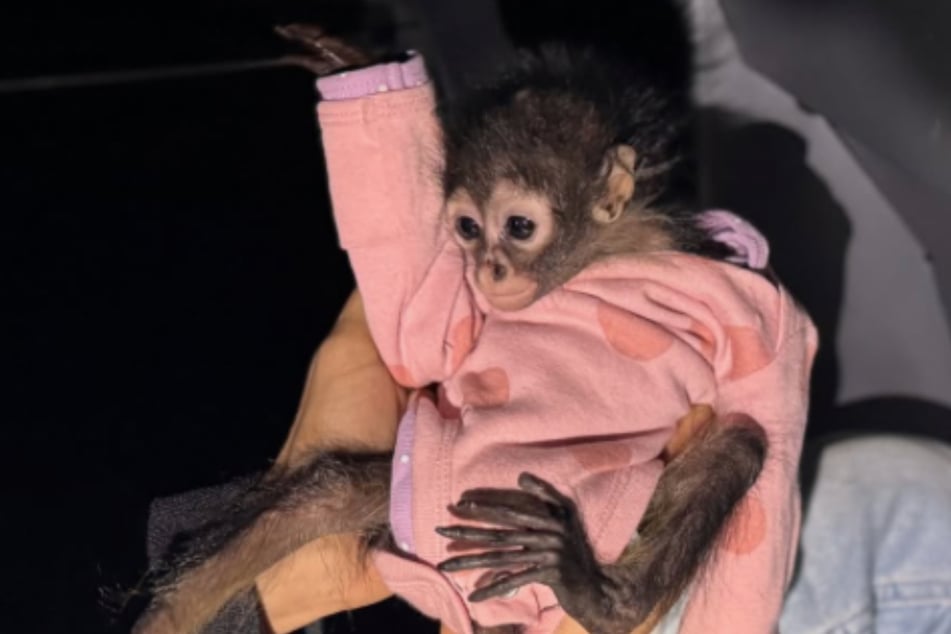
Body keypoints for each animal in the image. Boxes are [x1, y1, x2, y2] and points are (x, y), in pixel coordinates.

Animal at [133, 22, 814, 634]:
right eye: (466, 228)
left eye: (518, 227)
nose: (489, 269)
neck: (595, 258)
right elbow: (417, 340)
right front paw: (352, 63)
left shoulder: (741, 298)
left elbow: (770, 389)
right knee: (325, 490)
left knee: (744, 443)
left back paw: (602, 600)